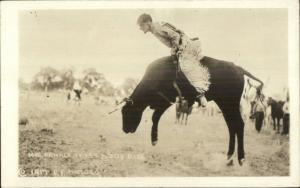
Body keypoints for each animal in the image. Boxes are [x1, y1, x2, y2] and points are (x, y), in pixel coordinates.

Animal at [120, 55, 262, 164]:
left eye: (126, 112)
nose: (125, 130)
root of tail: (237, 68)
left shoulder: (166, 100)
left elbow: (155, 117)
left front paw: (154, 140)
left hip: (230, 103)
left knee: (238, 124)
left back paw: (241, 158)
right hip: (225, 105)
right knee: (232, 126)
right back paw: (229, 156)